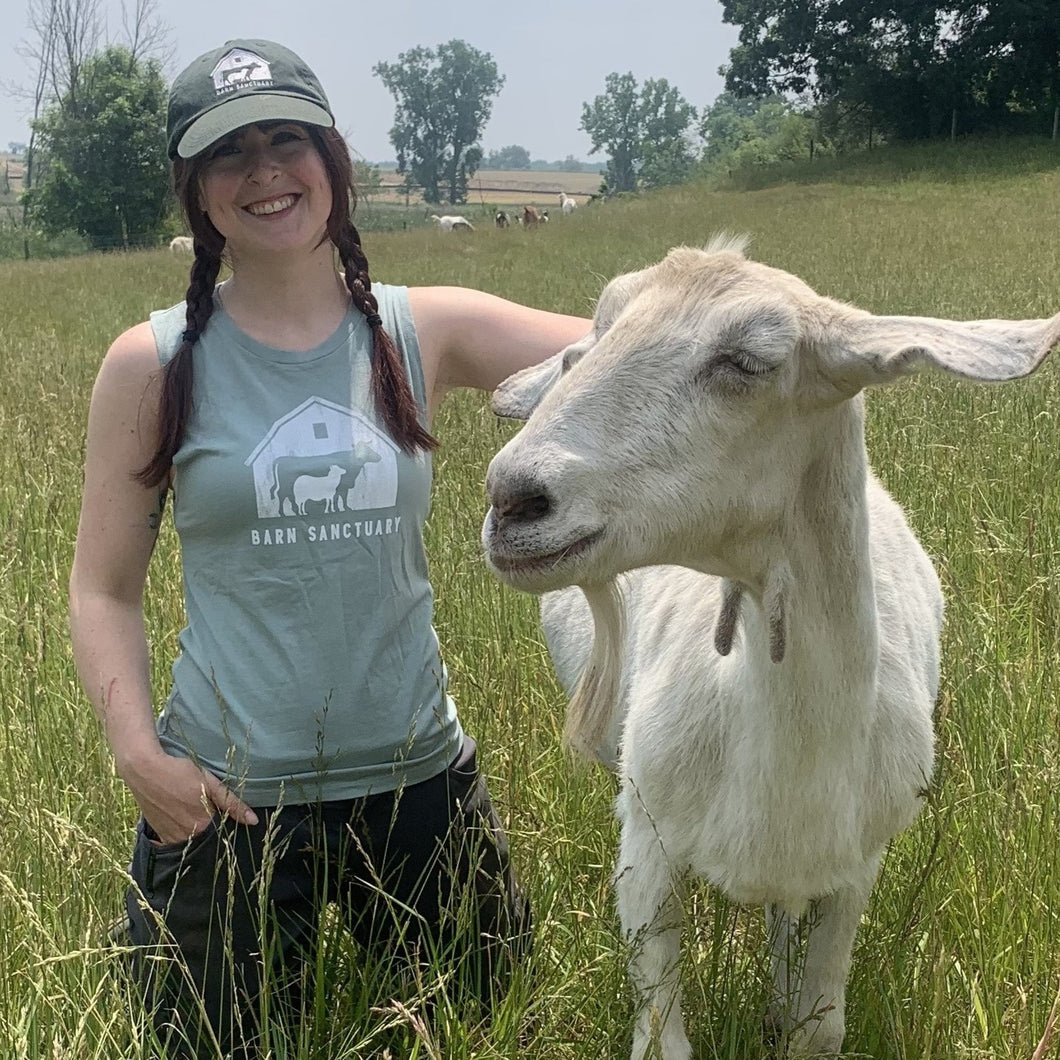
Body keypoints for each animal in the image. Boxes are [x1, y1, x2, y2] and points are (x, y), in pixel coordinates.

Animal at [483, 236, 1060, 1055]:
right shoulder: (645, 854)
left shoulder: (854, 867)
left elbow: (817, 1024)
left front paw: (786, 1012)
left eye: (748, 359)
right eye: (590, 341)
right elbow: (662, 1040)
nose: (512, 500)